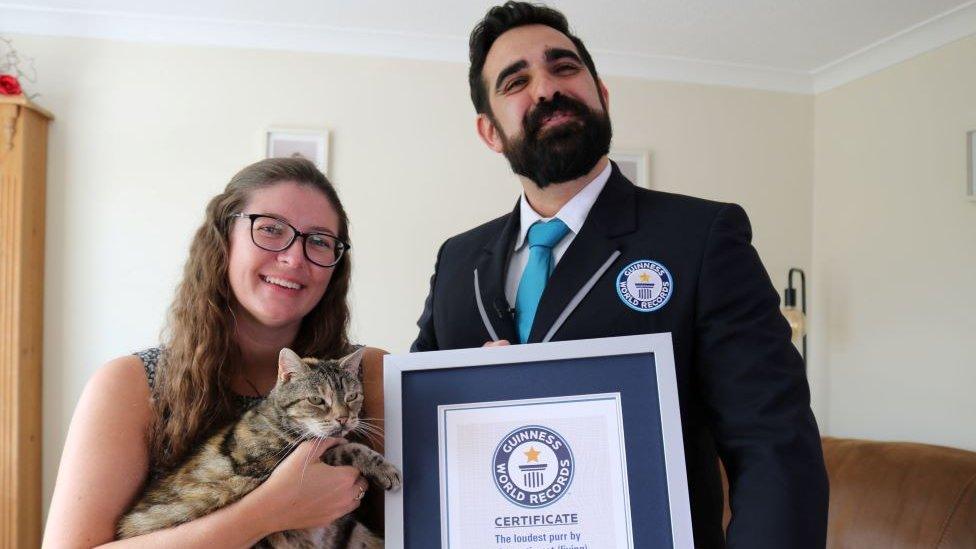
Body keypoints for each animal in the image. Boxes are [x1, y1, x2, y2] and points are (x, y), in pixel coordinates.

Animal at [117, 346, 400, 548]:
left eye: (352, 397)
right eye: (317, 400)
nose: (344, 418)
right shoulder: (265, 464)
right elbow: (345, 448)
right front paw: (384, 468)